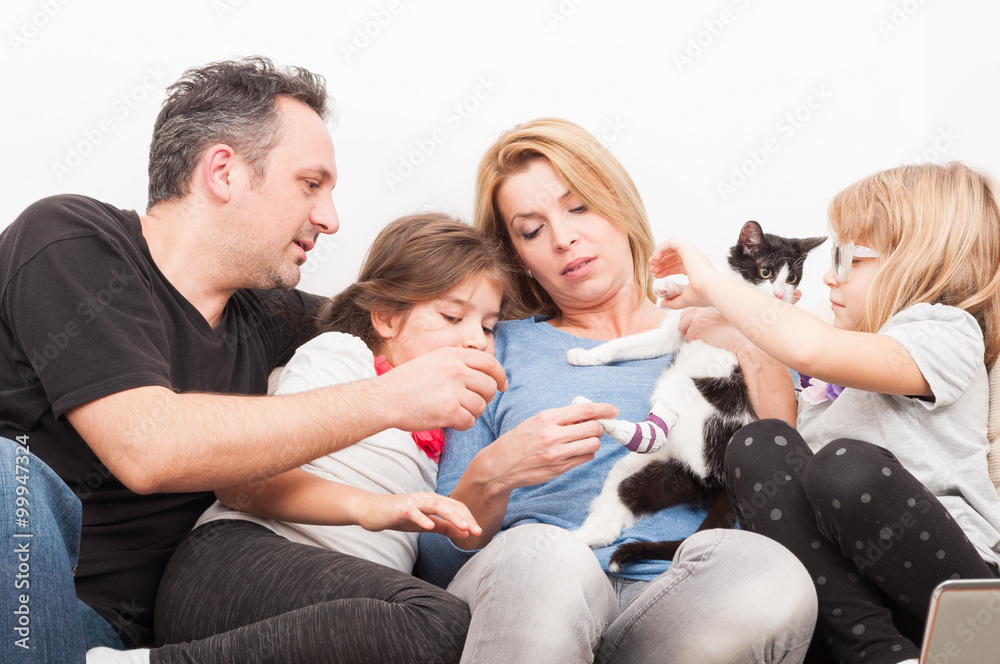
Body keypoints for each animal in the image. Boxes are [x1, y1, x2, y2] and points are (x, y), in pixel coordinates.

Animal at [568, 219, 824, 572]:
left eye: (792, 279)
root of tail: (718, 479)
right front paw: (669, 286)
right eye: (766, 272)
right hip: (652, 471)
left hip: (689, 389)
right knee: (613, 512)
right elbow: (625, 344)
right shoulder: (672, 330)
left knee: (656, 428)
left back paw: (595, 414)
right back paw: (569, 540)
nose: (779, 294)